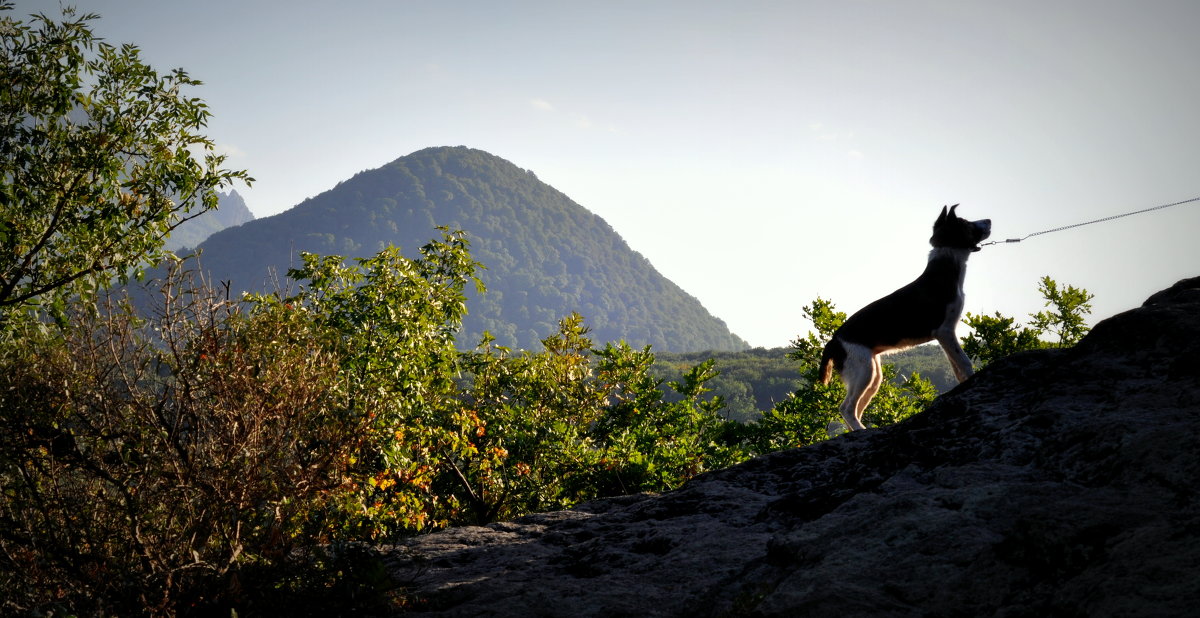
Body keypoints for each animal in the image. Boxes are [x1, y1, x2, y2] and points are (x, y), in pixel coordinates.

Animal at [816, 205, 993, 432]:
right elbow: (964, 362)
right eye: (966, 223)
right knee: (846, 407)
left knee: (855, 408)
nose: (989, 221)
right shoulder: (945, 331)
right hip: (863, 370)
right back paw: (860, 429)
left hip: (873, 374)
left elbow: (958, 368)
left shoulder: (945, 336)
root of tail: (834, 341)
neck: (945, 268)